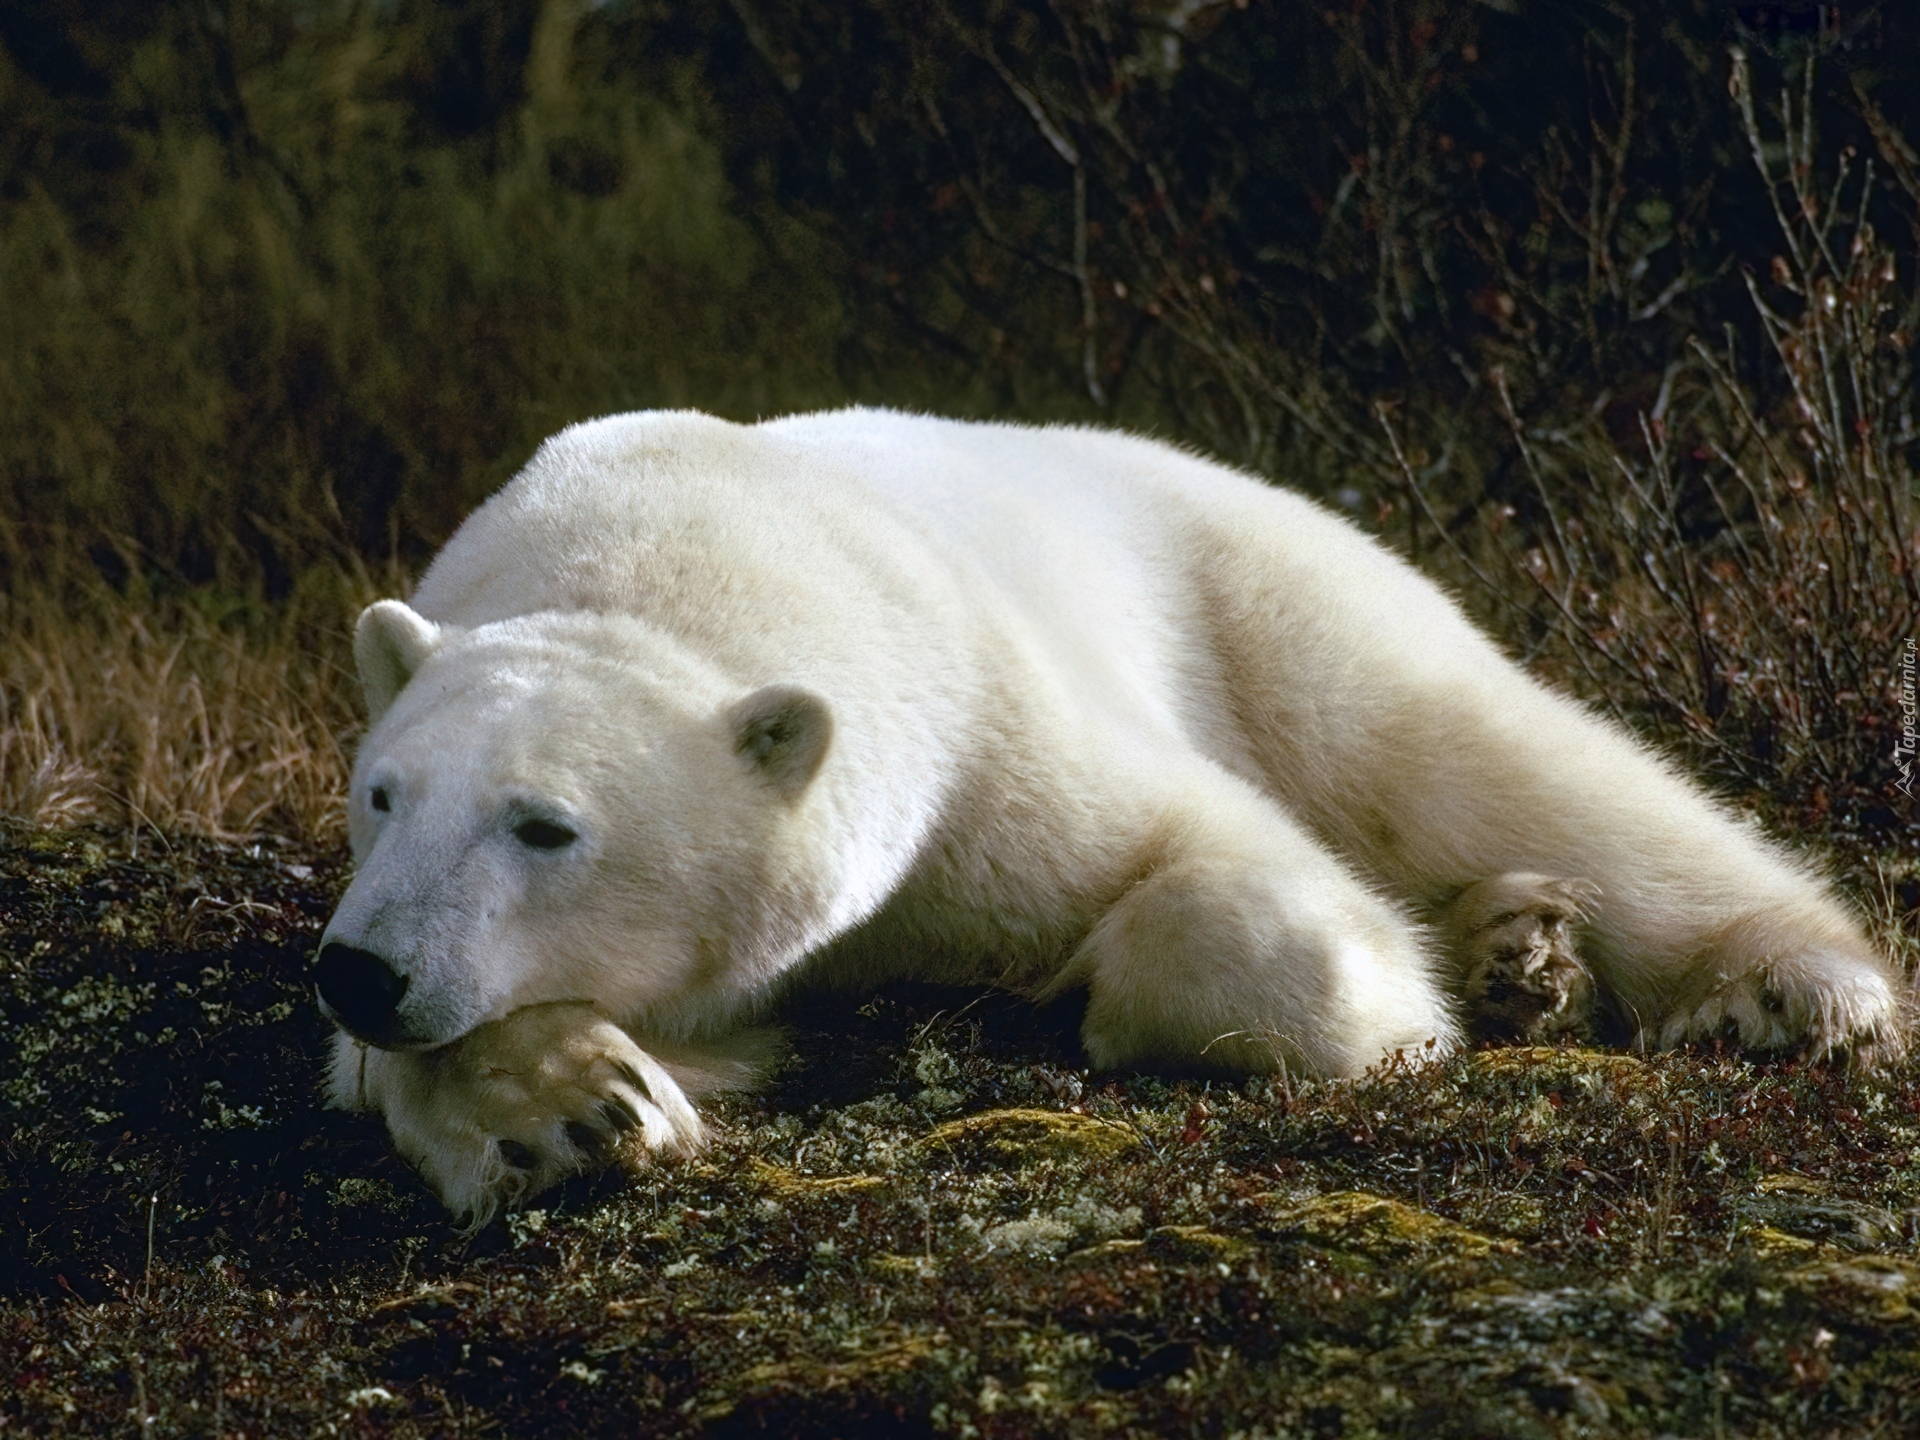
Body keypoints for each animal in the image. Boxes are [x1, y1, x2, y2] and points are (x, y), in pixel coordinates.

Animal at [318, 408, 1904, 1228]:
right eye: (380, 796)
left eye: (546, 826)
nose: (360, 970)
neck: (673, 553)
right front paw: (576, 1103)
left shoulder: (987, 731)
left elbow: (1258, 902)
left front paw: (1081, 993)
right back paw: (1522, 950)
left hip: (1267, 598)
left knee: (1472, 752)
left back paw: (1785, 988)